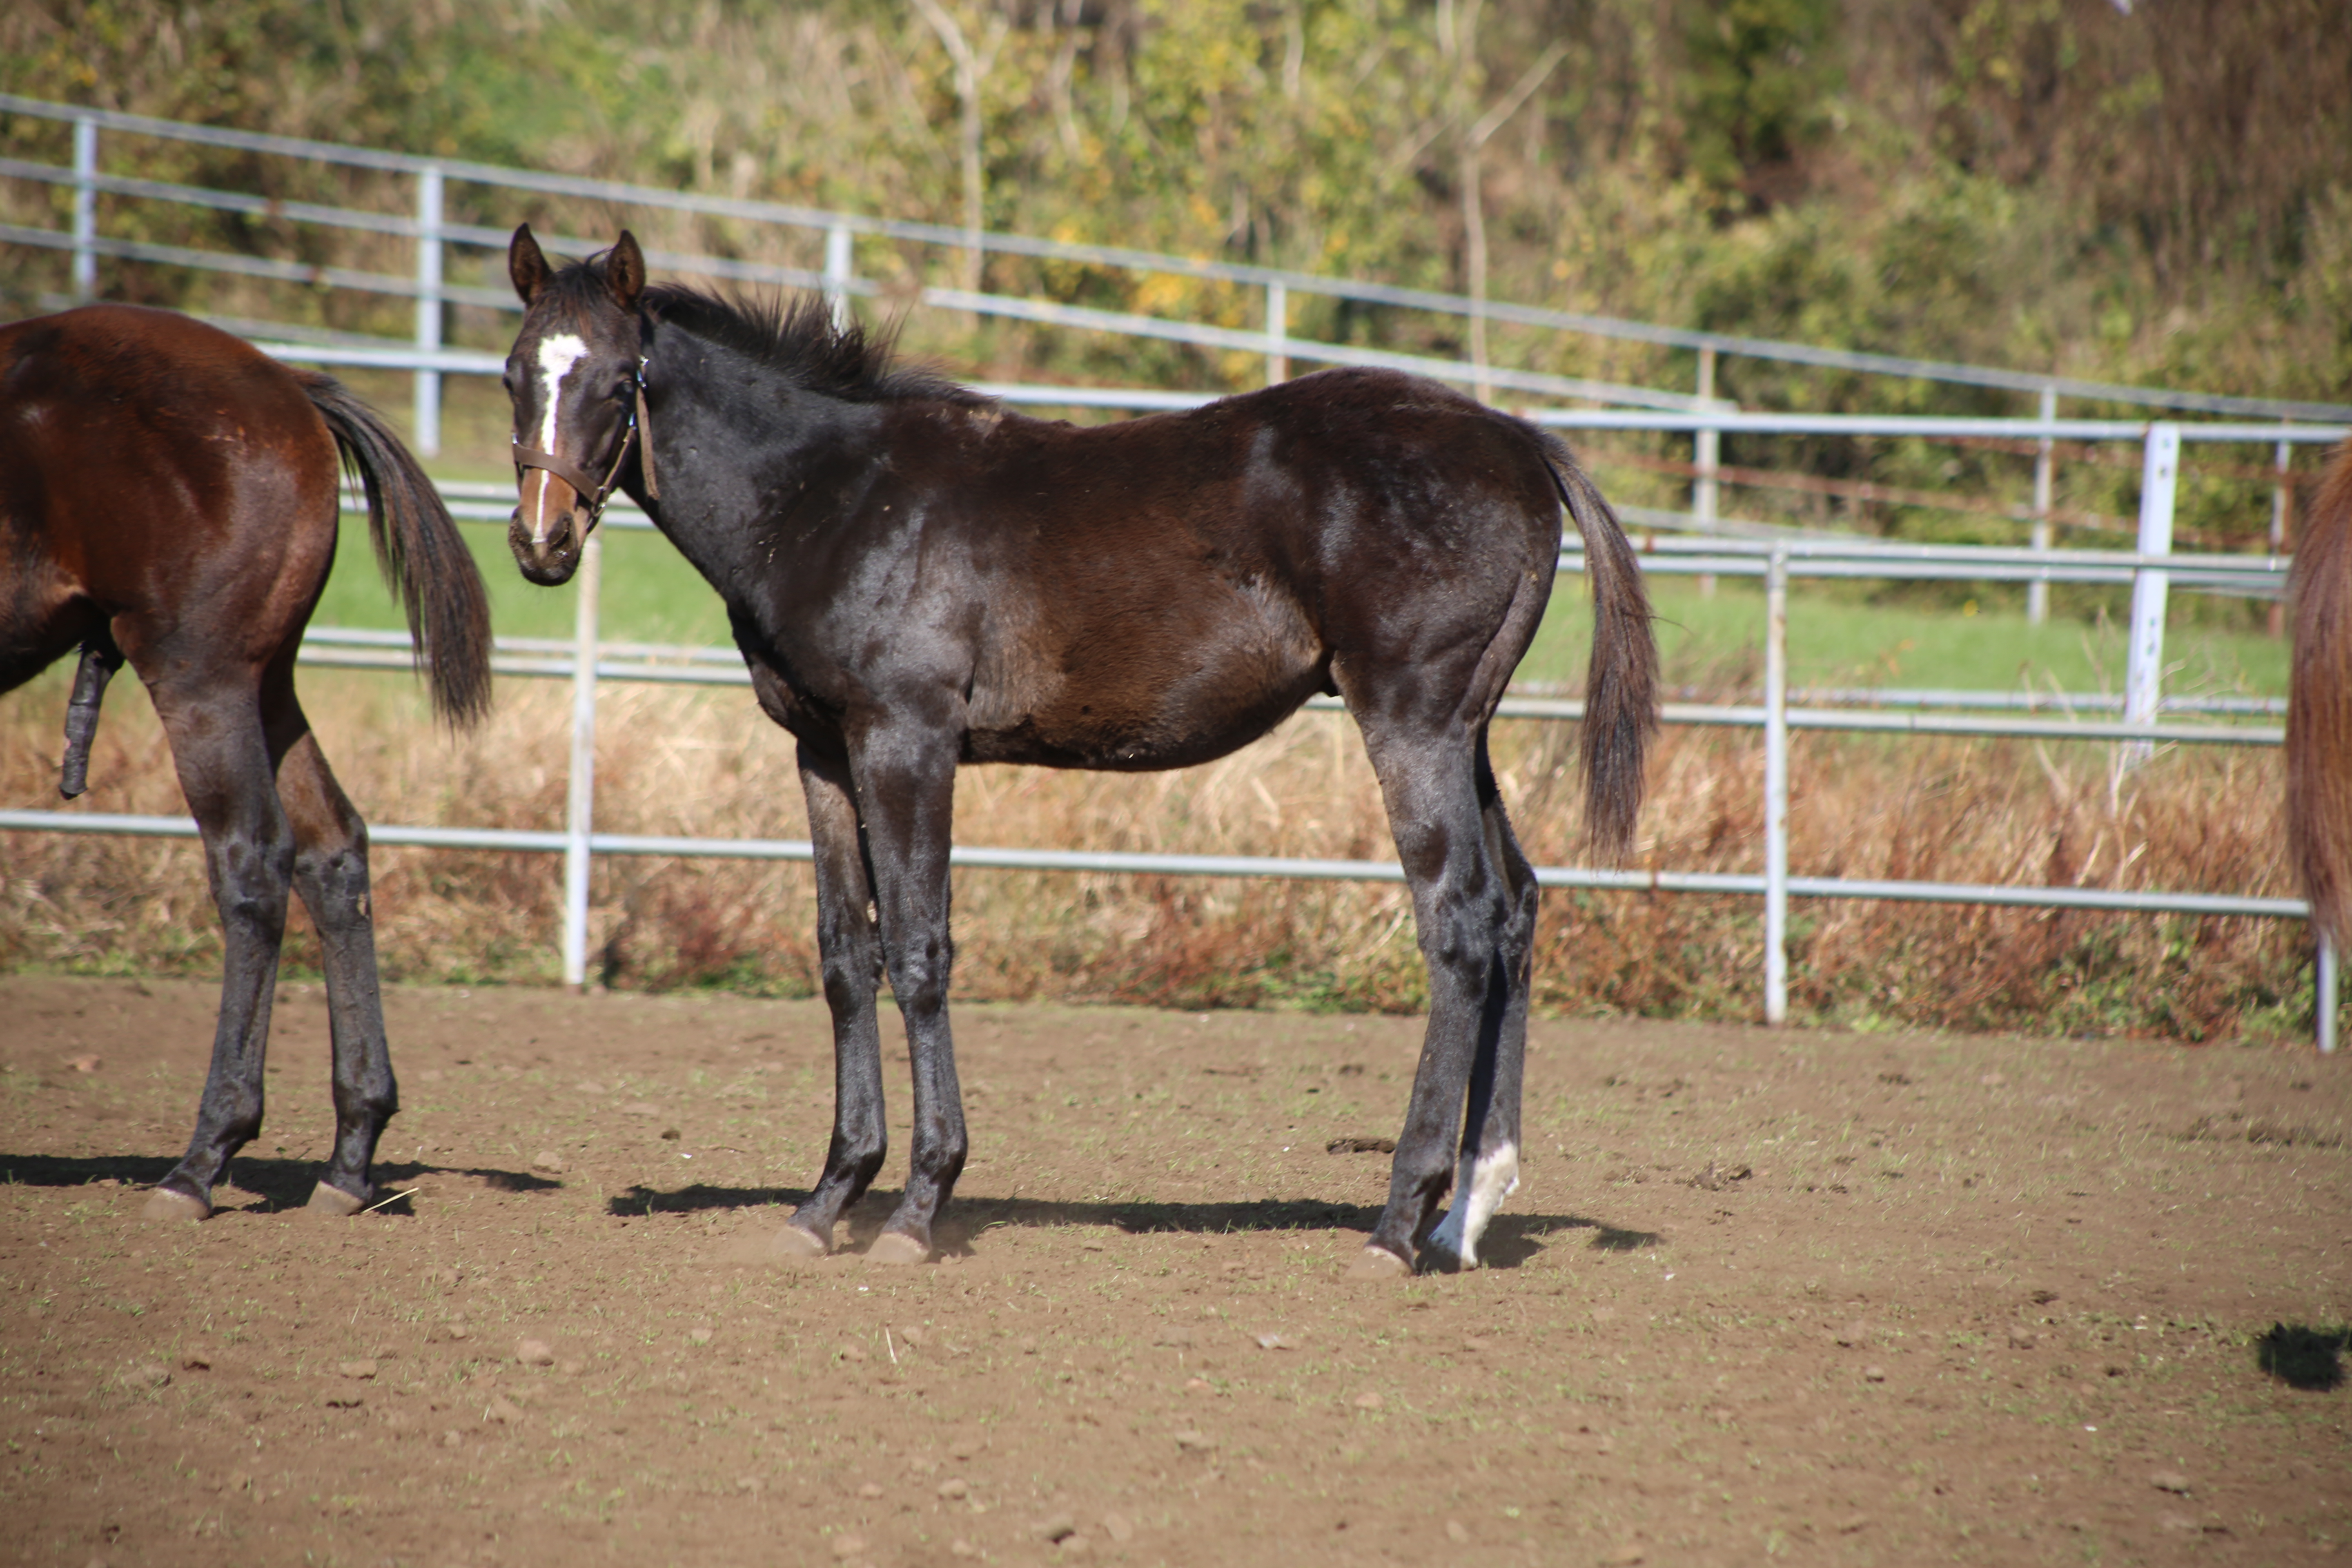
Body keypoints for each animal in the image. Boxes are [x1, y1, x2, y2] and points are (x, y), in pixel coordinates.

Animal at [0, 301, 489, 1222]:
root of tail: (289, 385)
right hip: (269, 685)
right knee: (335, 850)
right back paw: (350, 1155)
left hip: (204, 677)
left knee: (254, 861)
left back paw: (203, 1158)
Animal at [506, 227, 1665, 1269]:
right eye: (516, 373)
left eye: (617, 380)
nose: (539, 541)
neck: (839, 498)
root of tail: (1519, 442)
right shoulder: (823, 752)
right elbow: (844, 957)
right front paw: (825, 1201)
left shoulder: (906, 739)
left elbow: (917, 952)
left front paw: (918, 1208)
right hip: (1465, 731)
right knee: (1514, 908)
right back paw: (1466, 1214)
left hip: (1411, 720)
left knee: (1458, 923)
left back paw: (1396, 1224)